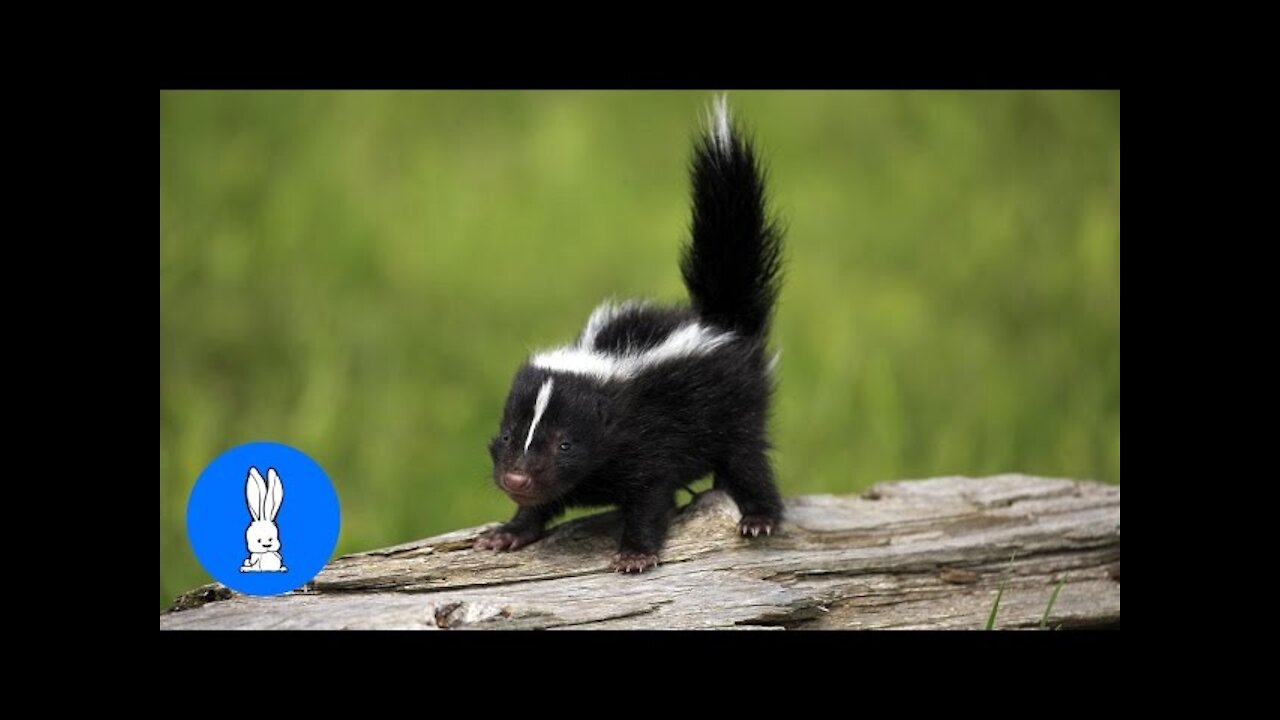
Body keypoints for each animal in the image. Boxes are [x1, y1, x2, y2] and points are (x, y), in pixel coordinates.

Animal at [478, 98, 783, 571]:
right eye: (509, 434)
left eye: (565, 444)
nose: (515, 477)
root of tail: (719, 321)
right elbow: (541, 504)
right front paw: (509, 532)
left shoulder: (651, 441)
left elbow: (649, 497)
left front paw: (636, 553)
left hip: (735, 410)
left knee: (748, 460)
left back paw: (759, 517)